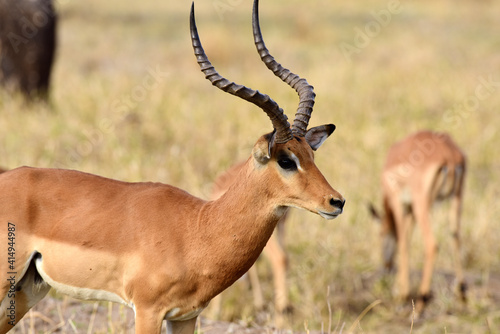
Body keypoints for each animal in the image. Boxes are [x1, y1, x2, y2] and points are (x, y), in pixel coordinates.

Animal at [0, 1, 344, 332]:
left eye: (311, 156)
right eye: (286, 160)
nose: (336, 202)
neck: (198, 227)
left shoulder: (185, 316)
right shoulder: (147, 311)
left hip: (28, 289)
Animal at [370, 130, 466, 316]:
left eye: (381, 234)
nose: (386, 266)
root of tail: (449, 154)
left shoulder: (399, 204)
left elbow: (403, 243)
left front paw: (402, 295)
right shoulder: (411, 209)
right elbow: (407, 239)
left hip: (423, 204)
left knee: (432, 244)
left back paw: (422, 301)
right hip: (456, 199)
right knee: (456, 237)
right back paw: (463, 296)